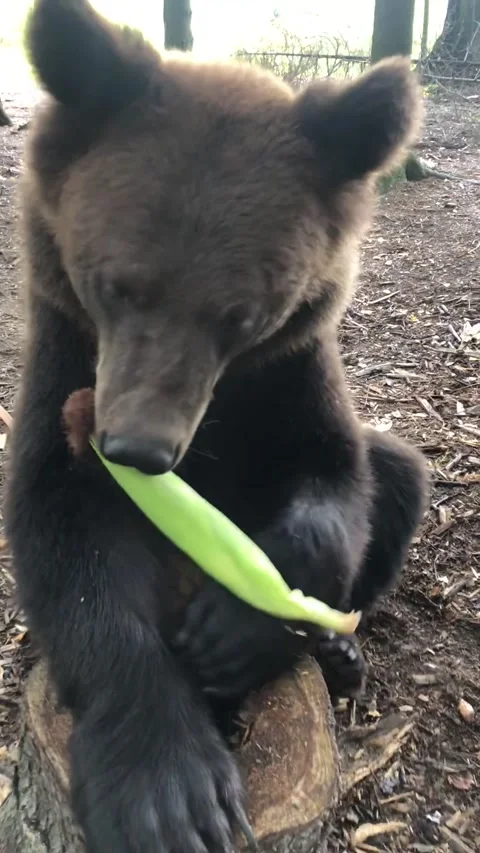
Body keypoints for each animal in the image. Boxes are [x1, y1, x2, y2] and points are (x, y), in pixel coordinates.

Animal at [5, 1, 428, 852]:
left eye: (241, 315)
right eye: (114, 284)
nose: (138, 447)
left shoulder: (291, 367)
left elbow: (335, 478)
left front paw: (234, 625)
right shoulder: (65, 350)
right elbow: (65, 533)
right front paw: (169, 791)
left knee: (398, 480)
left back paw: (337, 649)